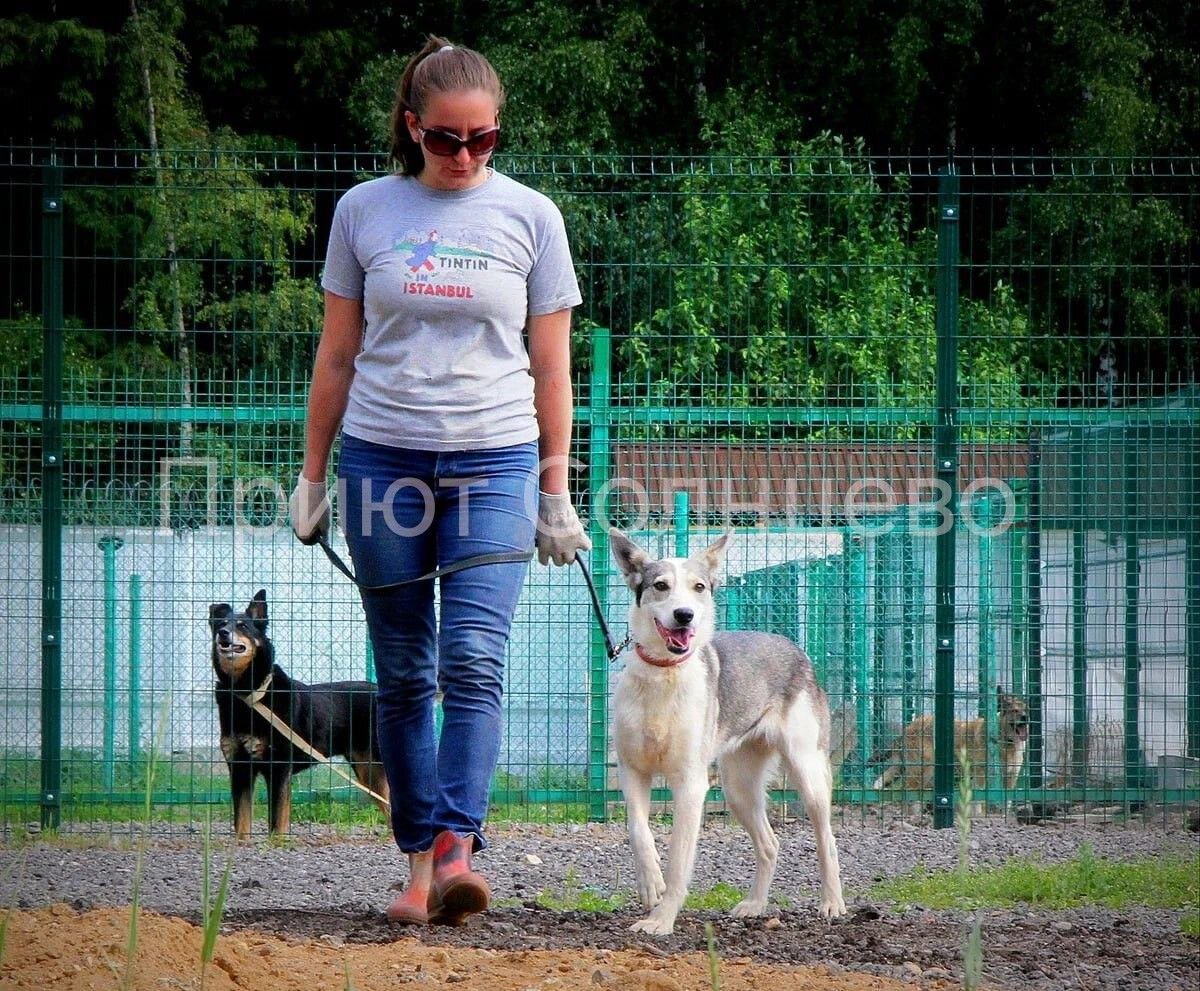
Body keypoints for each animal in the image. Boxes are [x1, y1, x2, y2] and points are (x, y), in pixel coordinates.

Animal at [210, 587, 388, 835]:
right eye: (221, 623)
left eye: (243, 626)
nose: (223, 633)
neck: (251, 693)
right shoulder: (240, 768)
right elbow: (242, 825)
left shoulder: (279, 767)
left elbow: (278, 822)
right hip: (368, 770)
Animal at [609, 527, 844, 931]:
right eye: (660, 585)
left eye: (699, 587)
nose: (684, 615)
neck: (664, 674)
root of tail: (792, 646)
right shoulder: (632, 772)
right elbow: (639, 833)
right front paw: (651, 885)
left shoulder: (690, 784)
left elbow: (679, 861)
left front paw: (661, 921)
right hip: (738, 789)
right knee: (770, 844)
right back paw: (754, 905)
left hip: (807, 773)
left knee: (826, 839)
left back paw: (832, 903)